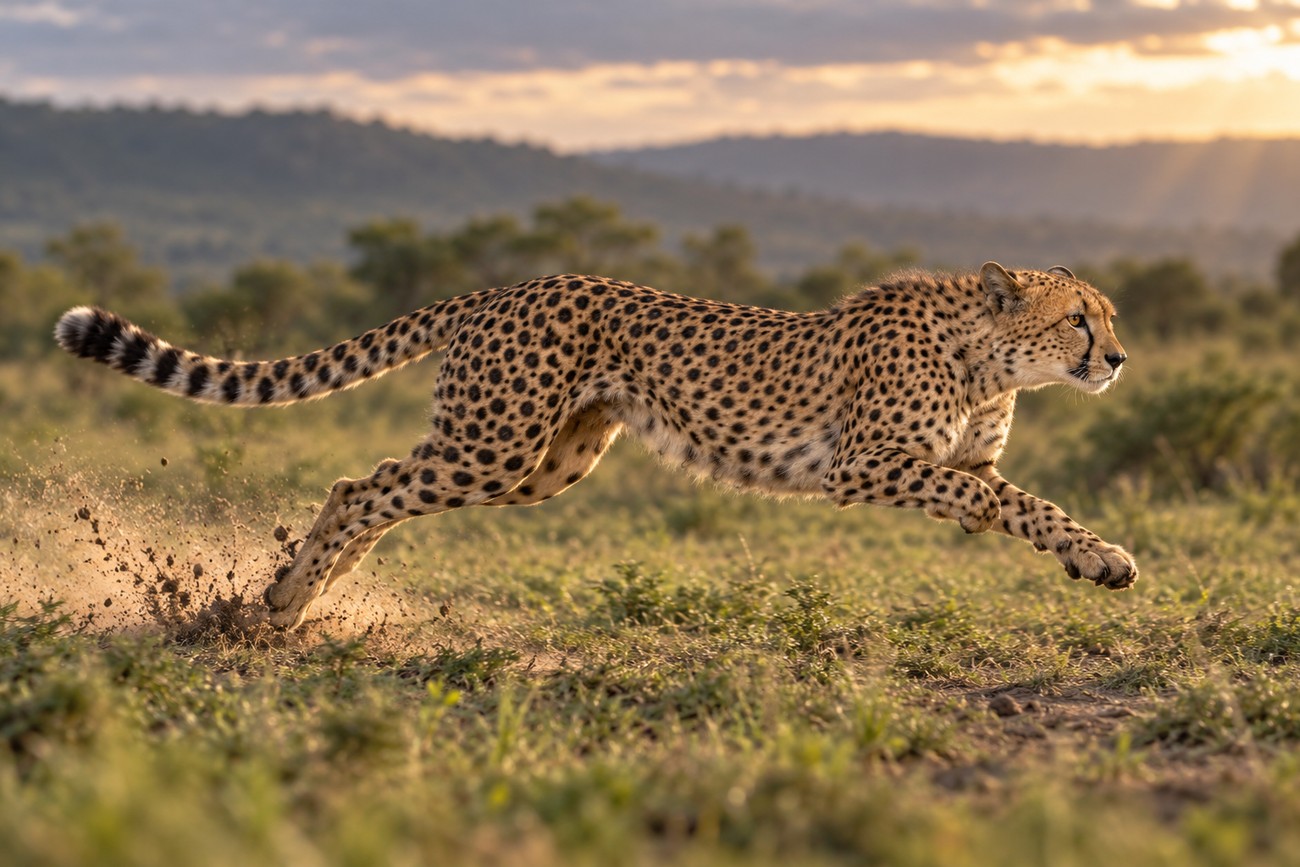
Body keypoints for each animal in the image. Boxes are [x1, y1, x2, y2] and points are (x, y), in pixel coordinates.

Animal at [55, 261, 1137, 630]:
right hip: (495, 443)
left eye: (1109, 317)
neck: (988, 355)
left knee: (378, 484)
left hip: (544, 462)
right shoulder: (865, 465)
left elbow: (1029, 502)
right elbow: (995, 499)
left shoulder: (957, 461)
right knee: (365, 482)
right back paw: (285, 600)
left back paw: (303, 591)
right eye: (1079, 320)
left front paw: (1099, 558)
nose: (1119, 359)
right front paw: (1078, 551)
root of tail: (506, 285)